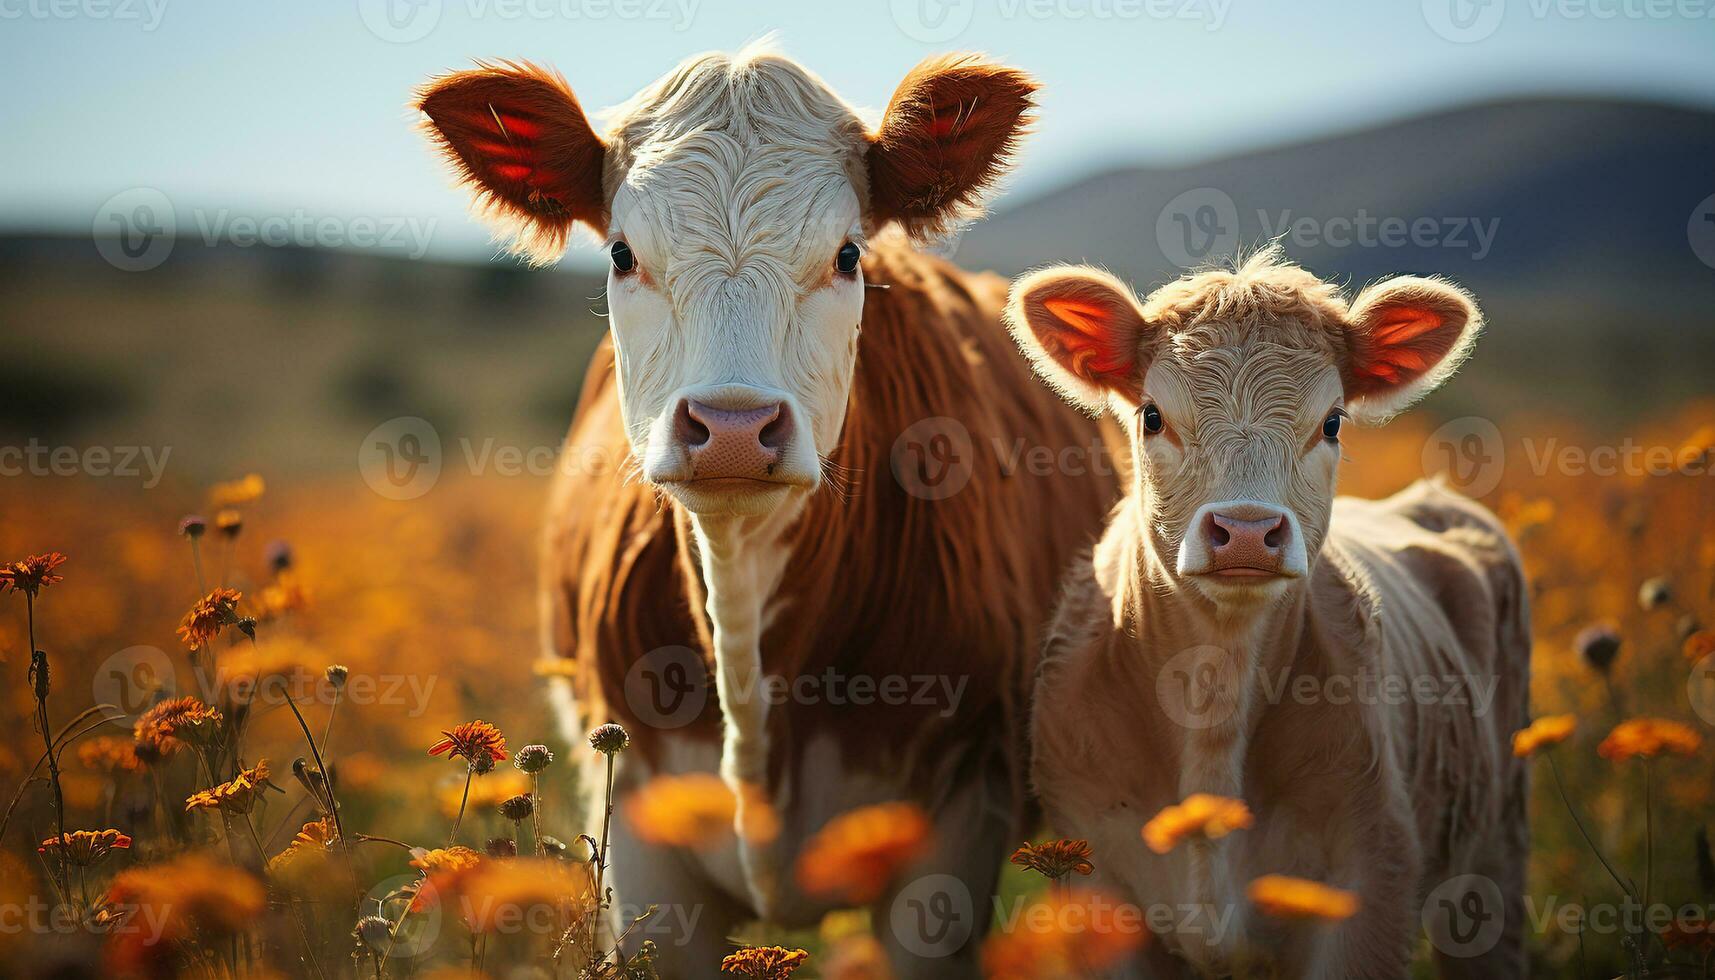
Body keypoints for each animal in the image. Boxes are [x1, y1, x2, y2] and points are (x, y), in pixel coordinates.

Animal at [1001, 250, 1529, 980]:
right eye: (1152, 416)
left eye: (1332, 421)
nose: (1246, 531)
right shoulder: (1094, 878)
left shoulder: (1371, 876)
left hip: (1495, 858)